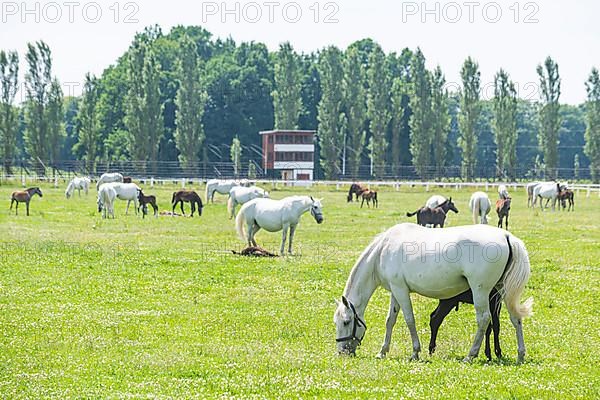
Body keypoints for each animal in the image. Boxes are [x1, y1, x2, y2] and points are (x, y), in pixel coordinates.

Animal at [332, 223, 536, 364]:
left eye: (346, 322)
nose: (342, 351)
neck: (383, 250)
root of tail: (506, 235)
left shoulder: (400, 290)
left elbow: (409, 319)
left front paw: (415, 352)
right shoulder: (395, 291)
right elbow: (390, 320)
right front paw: (382, 351)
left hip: (482, 291)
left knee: (484, 320)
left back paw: (470, 355)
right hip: (503, 292)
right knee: (515, 319)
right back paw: (520, 354)